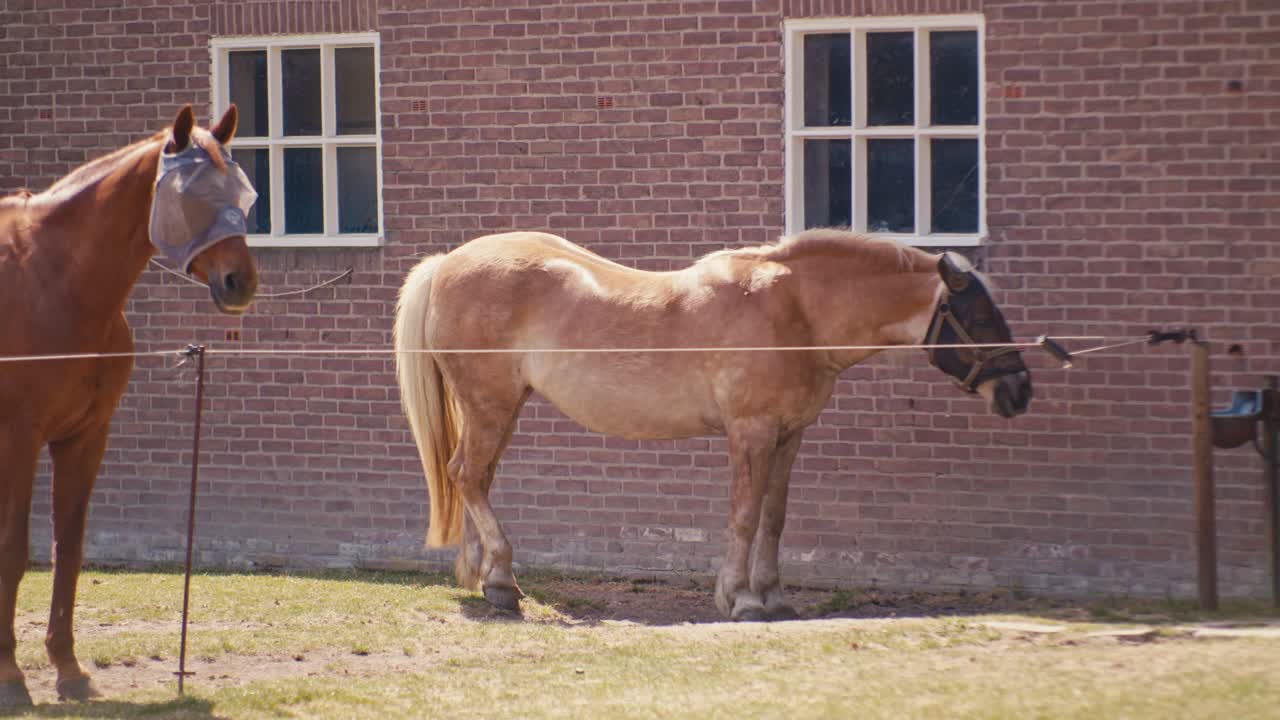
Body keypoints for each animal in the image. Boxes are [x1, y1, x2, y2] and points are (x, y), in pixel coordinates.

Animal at [0, 105, 259, 706]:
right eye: (192, 194)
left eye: (244, 191)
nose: (240, 282)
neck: (51, 278)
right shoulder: (17, 439)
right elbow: (13, 551)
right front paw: (10, 678)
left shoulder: (85, 438)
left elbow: (68, 551)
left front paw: (69, 670)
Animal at [394, 229, 1033, 621]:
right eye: (979, 316)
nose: (1019, 390)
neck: (793, 312)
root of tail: (449, 263)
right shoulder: (750, 431)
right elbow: (744, 515)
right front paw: (741, 599)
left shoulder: (789, 435)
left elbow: (774, 517)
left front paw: (773, 596)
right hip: (490, 404)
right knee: (467, 475)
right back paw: (503, 584)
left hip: (501, 408)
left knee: (475, 478)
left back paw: (484, 578)